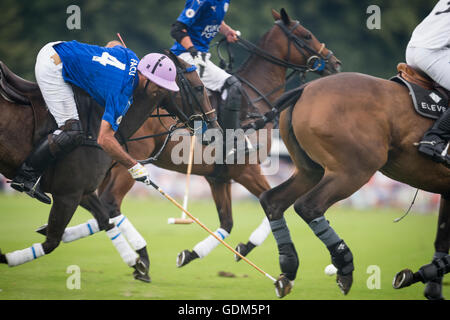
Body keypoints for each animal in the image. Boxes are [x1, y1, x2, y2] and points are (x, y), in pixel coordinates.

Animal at [0, 52, 216, 280]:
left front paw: (138, 263)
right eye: (199, 88)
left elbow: (105, 219)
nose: (215, 129)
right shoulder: (68, 193)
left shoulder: (81, 191)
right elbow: (52, 241)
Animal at [47, 8, 342, 270]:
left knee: (96, 202)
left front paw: (190, 254)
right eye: (306, 35)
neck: (255, 103)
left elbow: (227, 223)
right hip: (126, 163)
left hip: (110, 165)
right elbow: (270, 203)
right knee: (109, 202)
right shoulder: (247, 169)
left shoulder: (218, 177)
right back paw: (139, 257)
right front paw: (245, 247)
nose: (334, 63)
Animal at [258, 69, 450, 298]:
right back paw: (344, 267)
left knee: (272, 201)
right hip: (353, 170)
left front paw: (429, 285)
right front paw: (417, 276)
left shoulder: (447, 191)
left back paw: (288, 268)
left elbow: (442, 237)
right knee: (308, 205)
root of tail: (305, 88)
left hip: (310, 171)